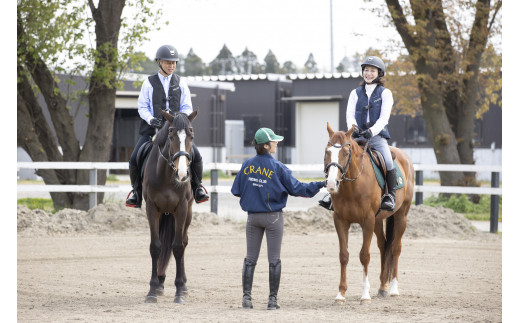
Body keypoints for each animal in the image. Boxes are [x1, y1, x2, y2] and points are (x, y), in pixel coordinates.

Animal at [142, 110, 197, 306]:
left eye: (191, 135)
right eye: (171, 135)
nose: (182, 174)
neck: (167, 175)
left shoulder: (181, 209)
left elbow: (178, 247)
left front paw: (179, 291)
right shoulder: (151, 209)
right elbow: (155, 247)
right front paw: (152, 290)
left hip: (188, 213)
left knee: (183, 241)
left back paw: (184, 286)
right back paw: (160, 283)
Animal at [324, 123, 414, 306]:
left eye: (346, 152)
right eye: (327, 151)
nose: (331, 184)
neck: (353, 186)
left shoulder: (367, 221)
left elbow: (364, 256)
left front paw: (365, 295)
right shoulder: (340, 221)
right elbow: (343, 255)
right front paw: (340, 294)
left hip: (401, 216)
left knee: (395, 247)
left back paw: (394, 288)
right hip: (378, 221)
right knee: (384, 246)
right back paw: (382, 287)